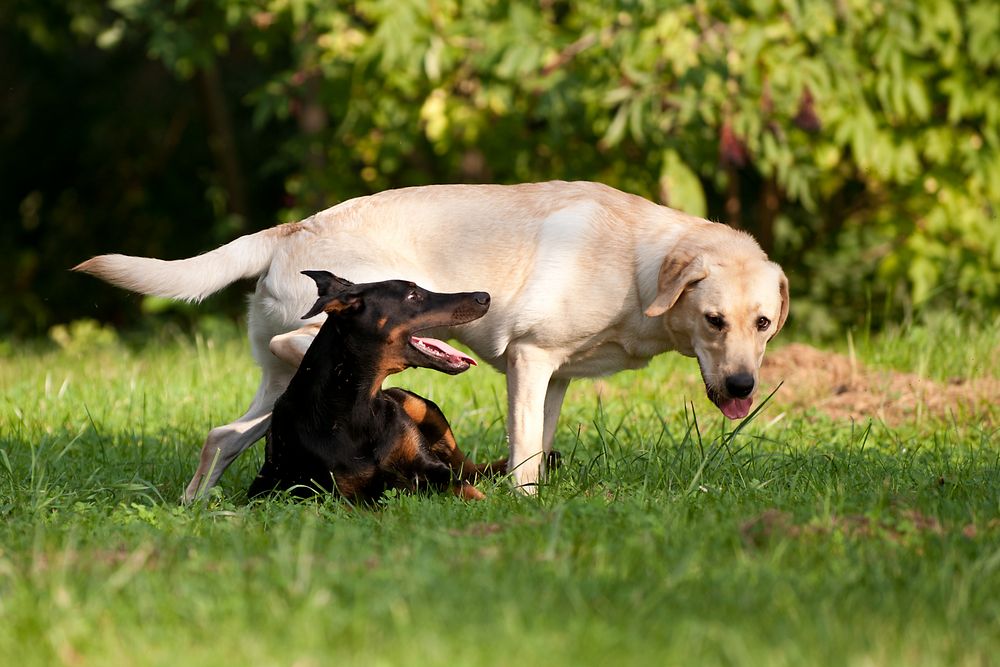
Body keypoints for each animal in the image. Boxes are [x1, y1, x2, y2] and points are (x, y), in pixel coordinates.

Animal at [247, 270, 504, 500]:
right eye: (413, 296)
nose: (484, 296)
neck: (360, 407)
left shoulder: (434, 468)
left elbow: (471, 491)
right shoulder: (347, 495)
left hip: (420, 405)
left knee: (469, 469)